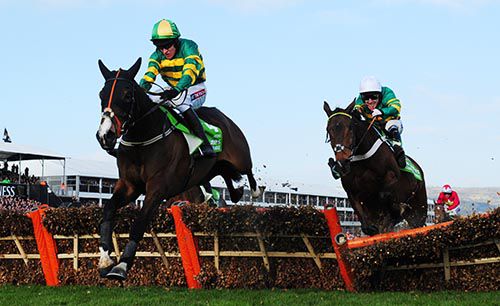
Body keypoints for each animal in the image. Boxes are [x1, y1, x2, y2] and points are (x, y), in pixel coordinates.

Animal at [94, 57, 262, 280]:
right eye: (101, 95)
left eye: (127, 95)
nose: (106, 135)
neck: (143, 140)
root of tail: (223, 117)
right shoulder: (129, 186)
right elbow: (108, 210)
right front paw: (105, 259)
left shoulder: (157, 189)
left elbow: (139, 223)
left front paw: (122, 265)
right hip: (211, 169)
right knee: (226, 177)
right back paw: (235, 192)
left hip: (239, 156)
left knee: (248, 169)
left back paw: (255, 190)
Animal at [324, 101, 426, 235]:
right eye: (328, 129)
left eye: (350, 128)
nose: (342, 163)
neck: (362, 158)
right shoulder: (351, 192)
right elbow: (366, 225)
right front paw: (372, 227)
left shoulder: (393, 177)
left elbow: (384, 194)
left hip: (419, 210)